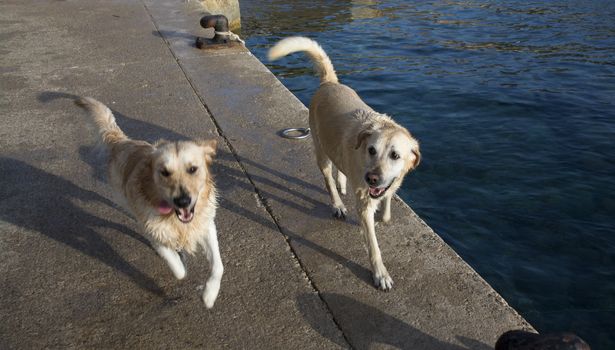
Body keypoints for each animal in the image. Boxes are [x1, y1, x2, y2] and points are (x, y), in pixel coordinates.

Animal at [75, 97, 223, 308]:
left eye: (193, 169)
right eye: (164, 172)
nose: (183, 201)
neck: (176, 220)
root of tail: (122, 141)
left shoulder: (207, 226)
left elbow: (218, 266)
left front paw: (209, 295)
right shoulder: (154, 230)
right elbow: (176, 267)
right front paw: (181, 262)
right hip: (123, 196)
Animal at [270, 37, 422, 290]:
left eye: (395, 155)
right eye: (372, 150)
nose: (371, 178)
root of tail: (330, 83)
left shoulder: (389, 184)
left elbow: (387, 204)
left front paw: (383, 216)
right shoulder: (364, 202)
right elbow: (373, 246)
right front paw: (380, 274)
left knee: (339, 166)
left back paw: (343, 183)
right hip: (320, 150)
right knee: (328, 179)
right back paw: (338, 204)